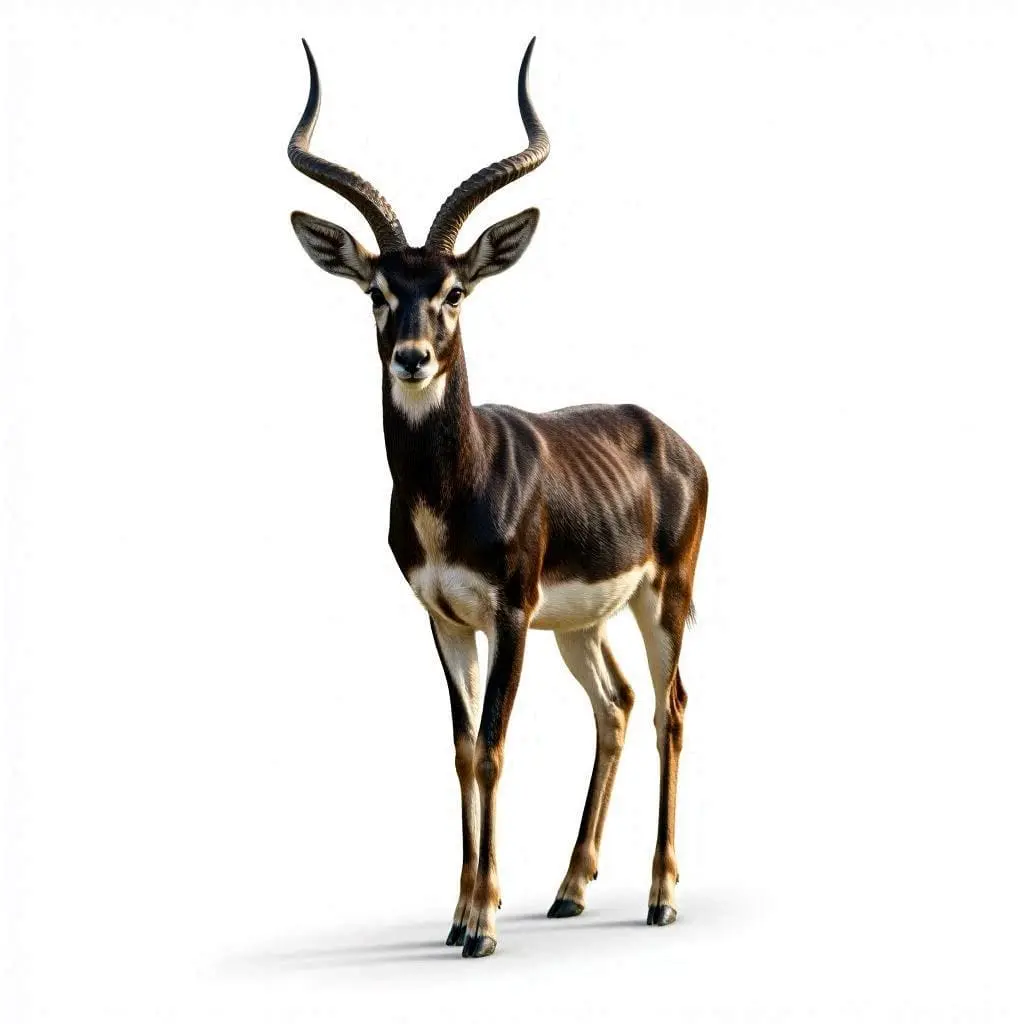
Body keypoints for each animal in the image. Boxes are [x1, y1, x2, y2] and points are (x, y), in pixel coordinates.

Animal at [288, 37, 707, 958]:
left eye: (455, 290)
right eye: (377, 291)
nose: (412, 357)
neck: (459, 484)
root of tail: (668, 436)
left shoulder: (510, 611)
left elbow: (491, 745)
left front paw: (481, 924)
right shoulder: (445, 618)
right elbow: (457, 749)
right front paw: (459, 911)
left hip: (663, 597)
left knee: (671, 708)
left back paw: (661, 897)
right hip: (581, 624)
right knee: (618, 707)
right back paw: (570, 891)